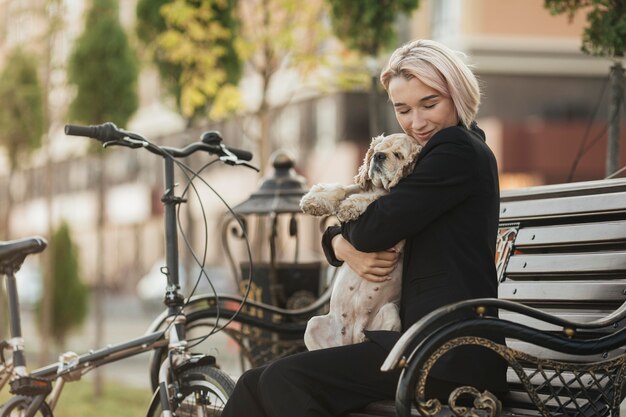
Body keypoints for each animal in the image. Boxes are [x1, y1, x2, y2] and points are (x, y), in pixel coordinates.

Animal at [298, 133, 420, 348]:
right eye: (378, 149)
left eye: (398, 155)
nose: (378, 156)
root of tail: (350, 337)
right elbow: (344, 188)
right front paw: (313, 201)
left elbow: (373, 197)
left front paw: (349, 207)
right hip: (313, 325)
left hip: (390, 311)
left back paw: (365, 337)